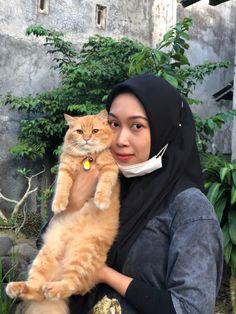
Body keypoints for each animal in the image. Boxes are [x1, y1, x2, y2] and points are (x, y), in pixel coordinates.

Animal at [6, 110, 120, 314]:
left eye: (95, 131)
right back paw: (18, 288)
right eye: (80, 131)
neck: (86, 158)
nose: (87, 138)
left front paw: (101, 201)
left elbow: (105, 184)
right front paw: (59, 205)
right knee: (37, 290)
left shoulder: (110, 168)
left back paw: (53, 288)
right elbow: (62, 188)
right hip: (45, 256)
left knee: (71, 285)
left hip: (80, 255)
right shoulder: (64, 169)